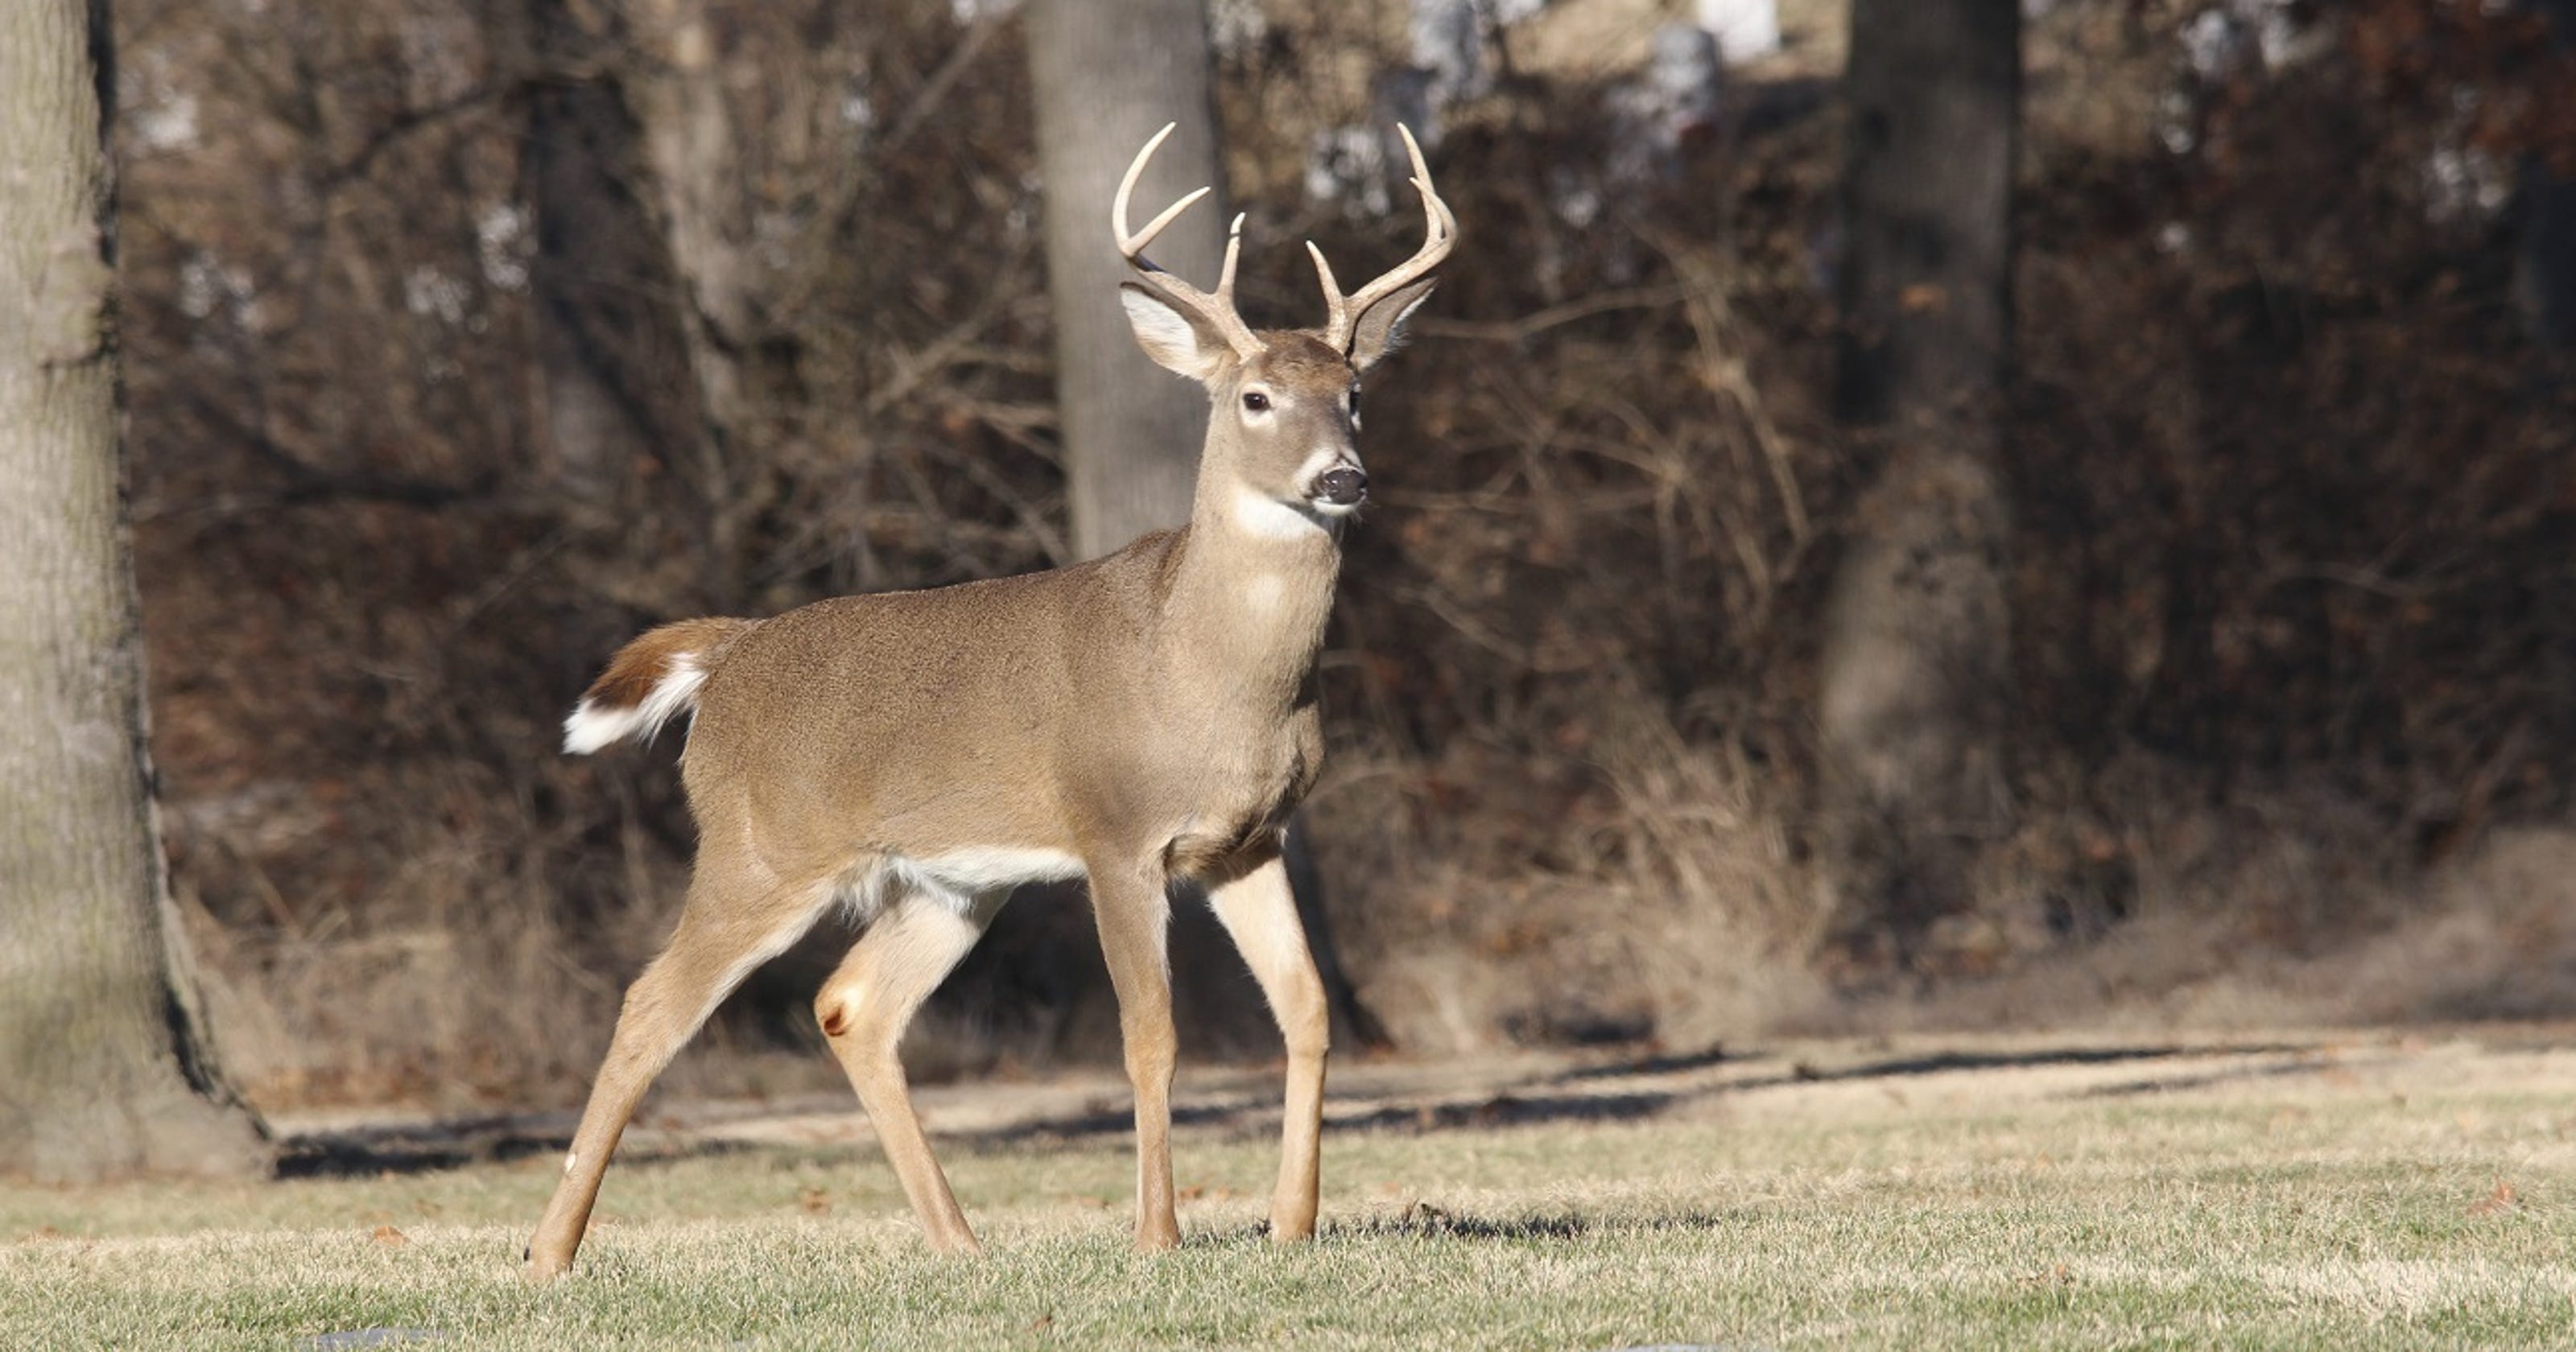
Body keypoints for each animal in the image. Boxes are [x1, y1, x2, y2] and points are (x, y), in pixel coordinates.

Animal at [523, 123, 1455, 1280]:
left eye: (1355, 392)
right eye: (1254, 398)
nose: (1342, 478)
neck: (1211, 676)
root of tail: (726, 656)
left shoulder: (1250, 839)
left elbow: (1308, 1009)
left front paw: (1293, 1223)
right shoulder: (1115, 833)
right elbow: (1150, 1035)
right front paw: (1157, 1237)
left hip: (949, 881)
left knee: (852, 1005)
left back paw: (958, 1242)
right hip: (759, 849)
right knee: (652, 1004)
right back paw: (548, 1254)